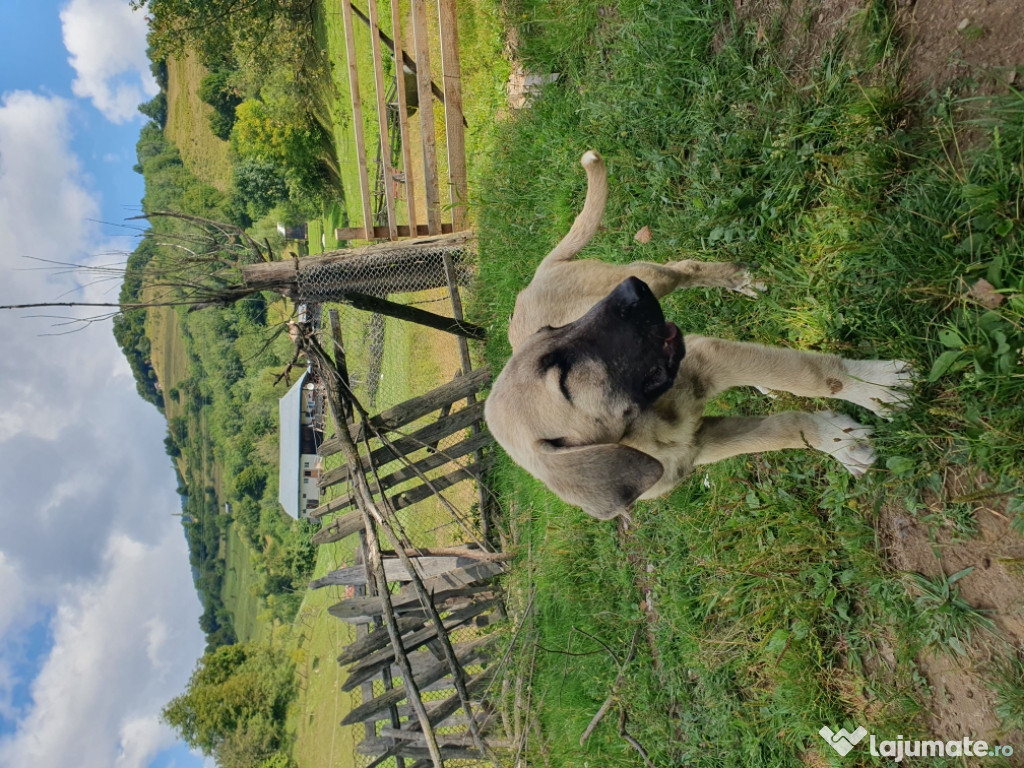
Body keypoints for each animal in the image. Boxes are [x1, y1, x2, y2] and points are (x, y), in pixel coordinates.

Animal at [483, 150, 917, 524]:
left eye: (554, 329)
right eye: (564, 375)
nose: (630, 291)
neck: (648, 427)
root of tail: (538, 275)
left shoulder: (708, 360)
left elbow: (816, 375)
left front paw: (875, 387)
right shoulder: (702, 442)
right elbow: (789, 428)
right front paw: (838, 440)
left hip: (656, 278)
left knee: (686, 267)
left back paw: (737, 280)